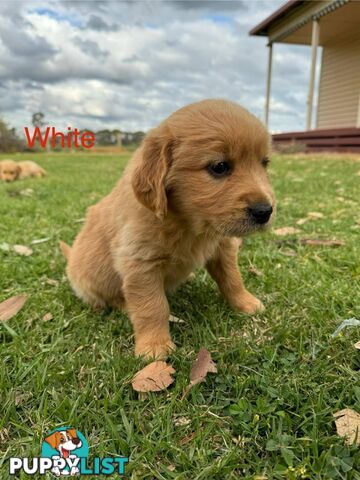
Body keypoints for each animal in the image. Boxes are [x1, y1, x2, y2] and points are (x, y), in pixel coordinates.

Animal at [62, 99, 276, 358]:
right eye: (219, 166)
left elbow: (232, 278)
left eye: (264, 163)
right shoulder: (140, 263)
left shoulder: (223, 246)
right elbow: (152, 306)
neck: (190, 223)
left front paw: (245, 302)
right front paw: (154, 346)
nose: (265, 211)